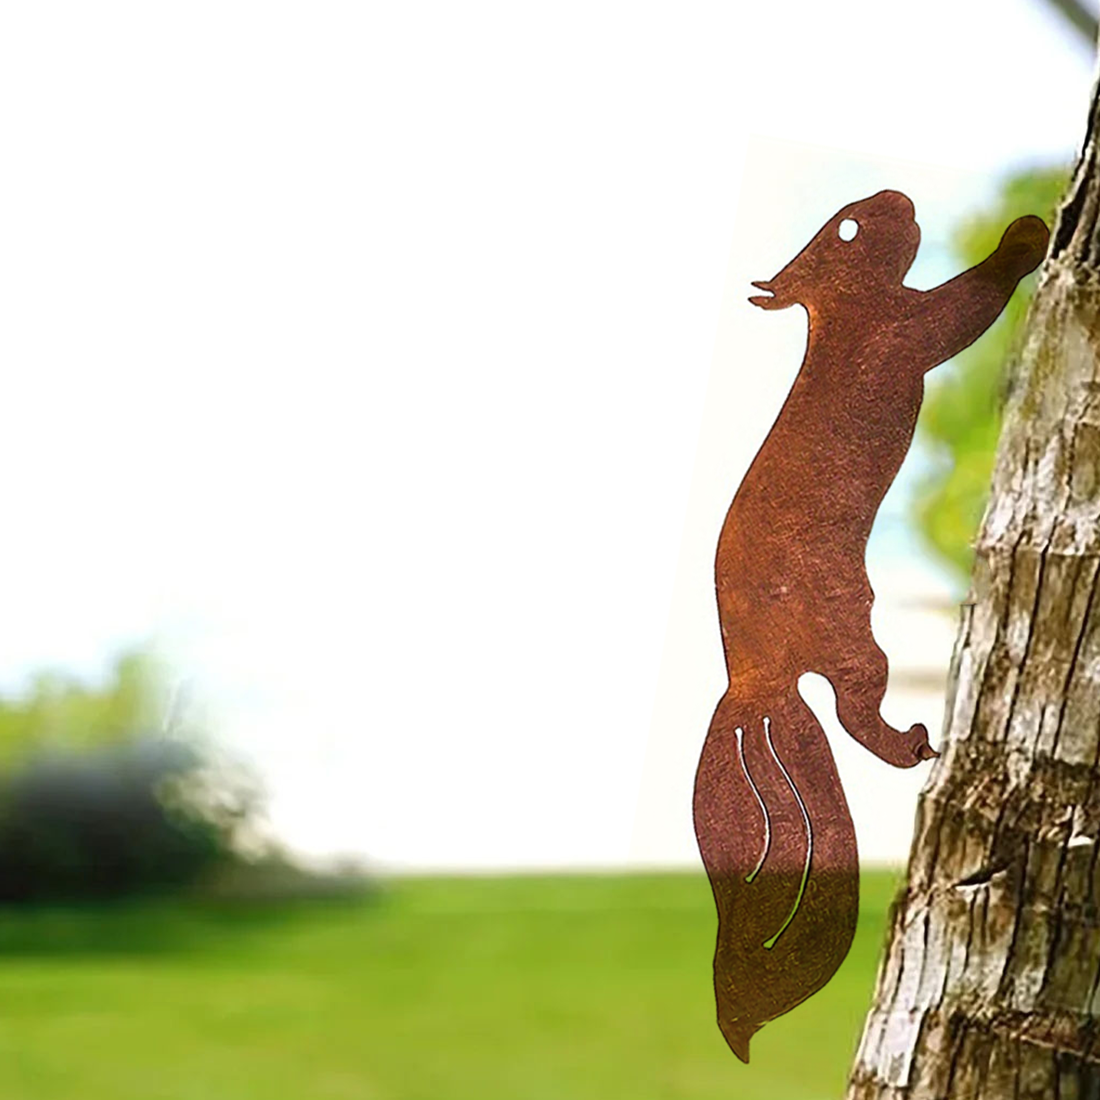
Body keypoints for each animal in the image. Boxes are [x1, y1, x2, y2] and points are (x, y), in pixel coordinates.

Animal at [692, 189, 1049, 1064]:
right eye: (849, 227)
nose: (901, 198)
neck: (843, 315)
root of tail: (752, 683)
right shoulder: (901, 332)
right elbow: (961, 310)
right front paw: (1026, 239)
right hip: (857, 642)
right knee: (856, 715)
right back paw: (913, 743)